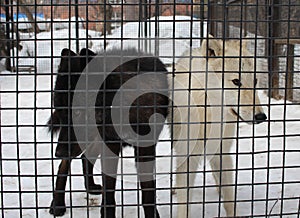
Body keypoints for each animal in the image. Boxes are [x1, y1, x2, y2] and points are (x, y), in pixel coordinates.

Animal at [169, 36, 268, 217]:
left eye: (255, 81)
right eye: (236, 81)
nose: (261, 117)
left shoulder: (223, 152)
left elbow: (229, 197)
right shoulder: (188, 156)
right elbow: (184, 200)